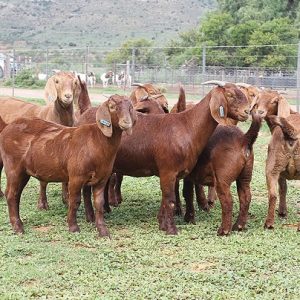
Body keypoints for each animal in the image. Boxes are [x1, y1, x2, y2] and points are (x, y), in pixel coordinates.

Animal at [0, 95, 136, 236]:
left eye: (130, 107)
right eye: (112, 107)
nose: (126, 122)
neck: (96, 141)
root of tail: (8, 127)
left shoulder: (101, 179)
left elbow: (99, 204)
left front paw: (103, 231)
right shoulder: (76, 177)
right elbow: (75, 201)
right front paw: (73, 227)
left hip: (24, 172)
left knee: (16, 194)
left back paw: (18, 223)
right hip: (13, 167)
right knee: (11, 194)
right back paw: (18, 227)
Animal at [78, 81, 251, 234]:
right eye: (230, 95)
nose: (247, 111)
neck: (187, 125)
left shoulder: (174, 173)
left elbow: (168, 197)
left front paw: (162, 224)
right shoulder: (168, 170)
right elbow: (170, 199)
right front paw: (171, 229)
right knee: (86, 190)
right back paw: (91, 217)